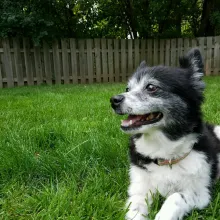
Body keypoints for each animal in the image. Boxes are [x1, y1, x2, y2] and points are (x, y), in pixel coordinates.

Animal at [110, 48, 220, 220]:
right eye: (128, 89)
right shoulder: (139, 189)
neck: (163, 153)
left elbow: (176, 197)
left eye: (151, 87)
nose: (114, 100)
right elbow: (136, 206)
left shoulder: (201, 193)